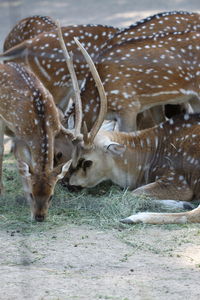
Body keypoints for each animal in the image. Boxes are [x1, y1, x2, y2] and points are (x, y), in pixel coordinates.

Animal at [65, 36, 200, 224]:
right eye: (72, 155)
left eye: (87, 162)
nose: (66, 183)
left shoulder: (176, 180)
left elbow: (134, 192)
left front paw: (182, 202)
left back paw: (133, 217)